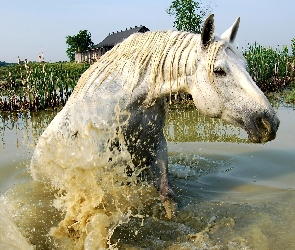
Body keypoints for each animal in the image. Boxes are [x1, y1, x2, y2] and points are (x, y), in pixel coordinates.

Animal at [30, 15, 280, 219]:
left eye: (245, 65)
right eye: (219, 71)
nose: (270, 122)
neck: (127, 99)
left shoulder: (156, 145)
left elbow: (166, 193)